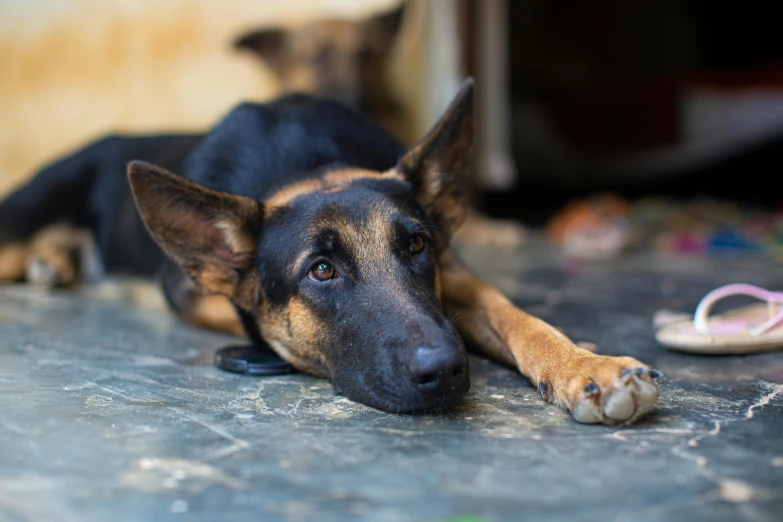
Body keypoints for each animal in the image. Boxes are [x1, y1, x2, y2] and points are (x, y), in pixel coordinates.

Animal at [0, 82, 660, 422]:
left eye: (416, 245)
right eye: (322, 271)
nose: (445, 369)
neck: (308, 162)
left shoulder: (453, 273)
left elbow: (516, 317)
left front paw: (585, 365)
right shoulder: (186, 290)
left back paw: (56, 262)